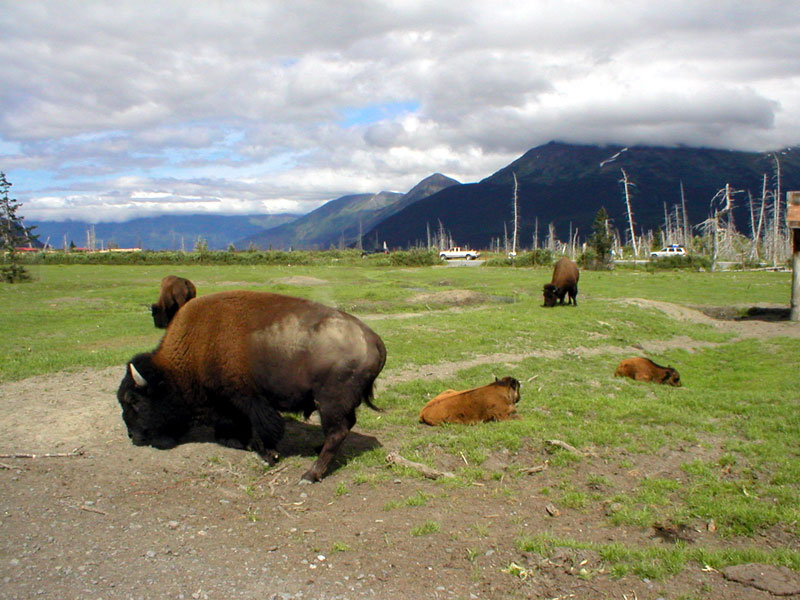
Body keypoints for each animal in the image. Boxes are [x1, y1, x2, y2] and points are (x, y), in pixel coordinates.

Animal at [118, 290, 387, 482]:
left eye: (134, 400)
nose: (133, 436)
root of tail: (373, 339)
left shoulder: (248, 399)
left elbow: (263, 426)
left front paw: (267, 454)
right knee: (344, 427)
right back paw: (316, 450)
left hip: (329, 402)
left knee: (337, 432)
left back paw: (310, 475)